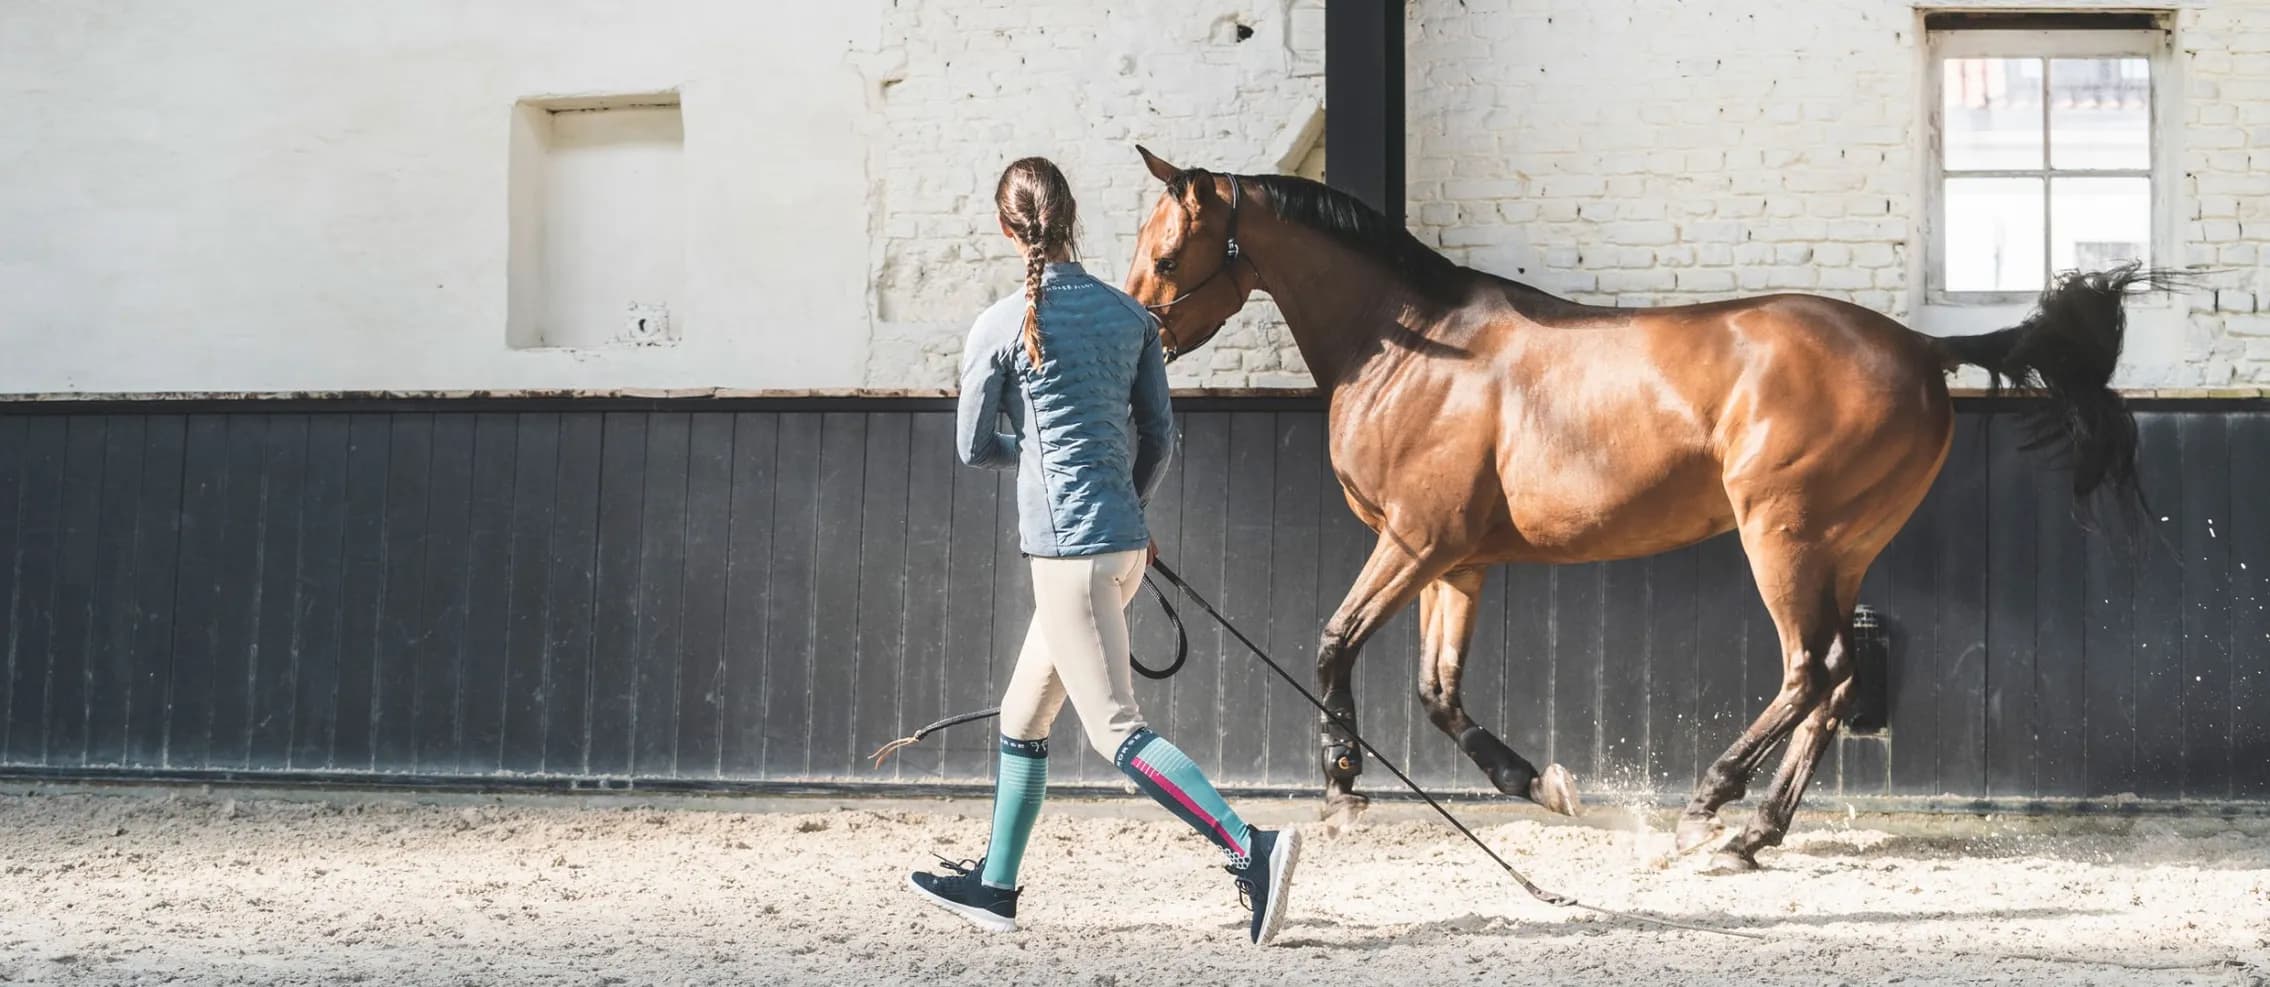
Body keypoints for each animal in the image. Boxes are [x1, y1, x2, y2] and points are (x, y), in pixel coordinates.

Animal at [1116, 144, 2161, 871]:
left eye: (1167, 255)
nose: (1137, 335)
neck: (1415, 345)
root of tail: (1918, 347)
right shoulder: (1457, 561)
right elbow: (1437, 691)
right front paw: (1541, 784)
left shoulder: (1415, 540)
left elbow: (1334, 640)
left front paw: (1342, 787)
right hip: (1845, 546)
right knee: (1834, 682)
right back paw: (1754, 834)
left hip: (1781, 534)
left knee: (1810, 669)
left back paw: (1711, 805)